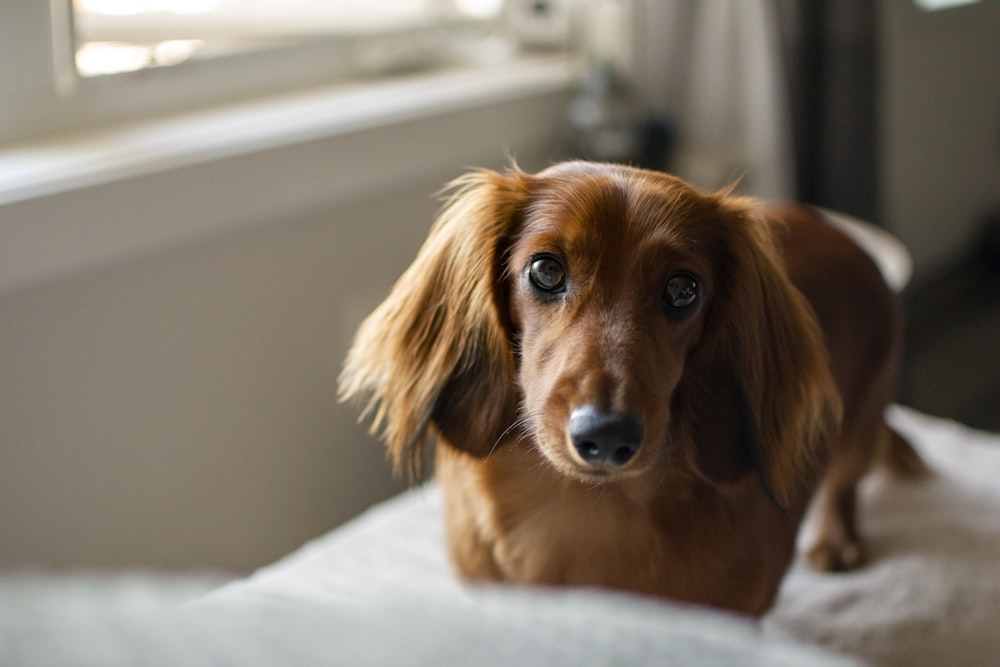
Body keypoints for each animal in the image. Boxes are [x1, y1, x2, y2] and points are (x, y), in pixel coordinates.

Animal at [338, 160, 920, 616]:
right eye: (545, 270)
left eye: (684, 289)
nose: (606, 435)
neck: (582, 514)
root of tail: (840, 232)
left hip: (861, 417)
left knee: (843, 483)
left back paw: (835, 540)